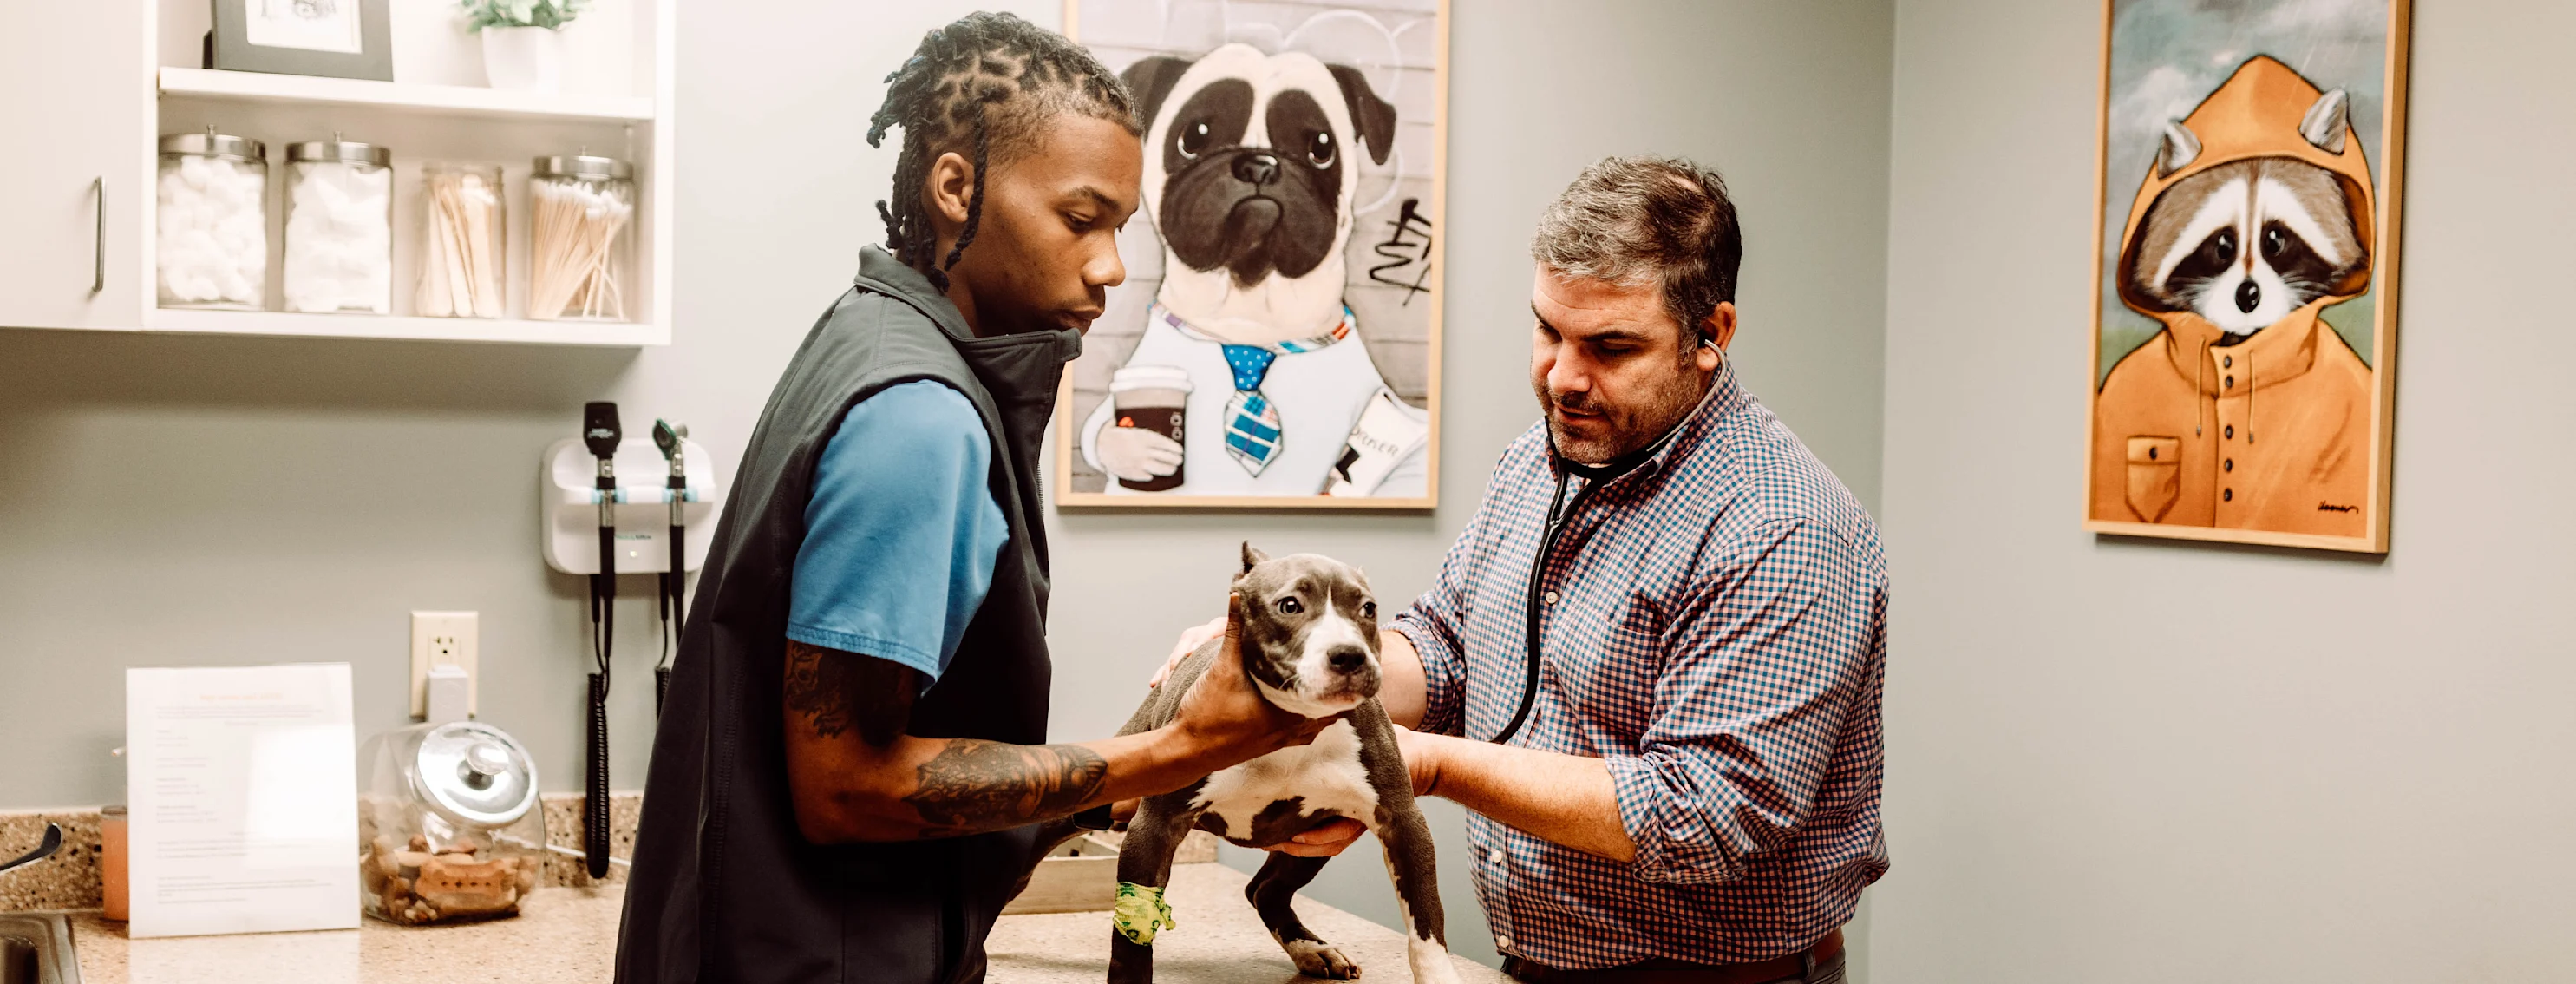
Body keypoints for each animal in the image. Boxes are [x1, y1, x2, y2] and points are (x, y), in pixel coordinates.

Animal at [1113, 546, 1462, 984]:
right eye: (1290, 605)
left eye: (1368, 608)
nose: (1349, 654)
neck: (1292, 728)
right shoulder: (1154, 827)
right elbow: (1132, 935)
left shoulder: (1401, 820)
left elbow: (1426, 919)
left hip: (1309, 844)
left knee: (1263, 890)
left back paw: (1313, 950)